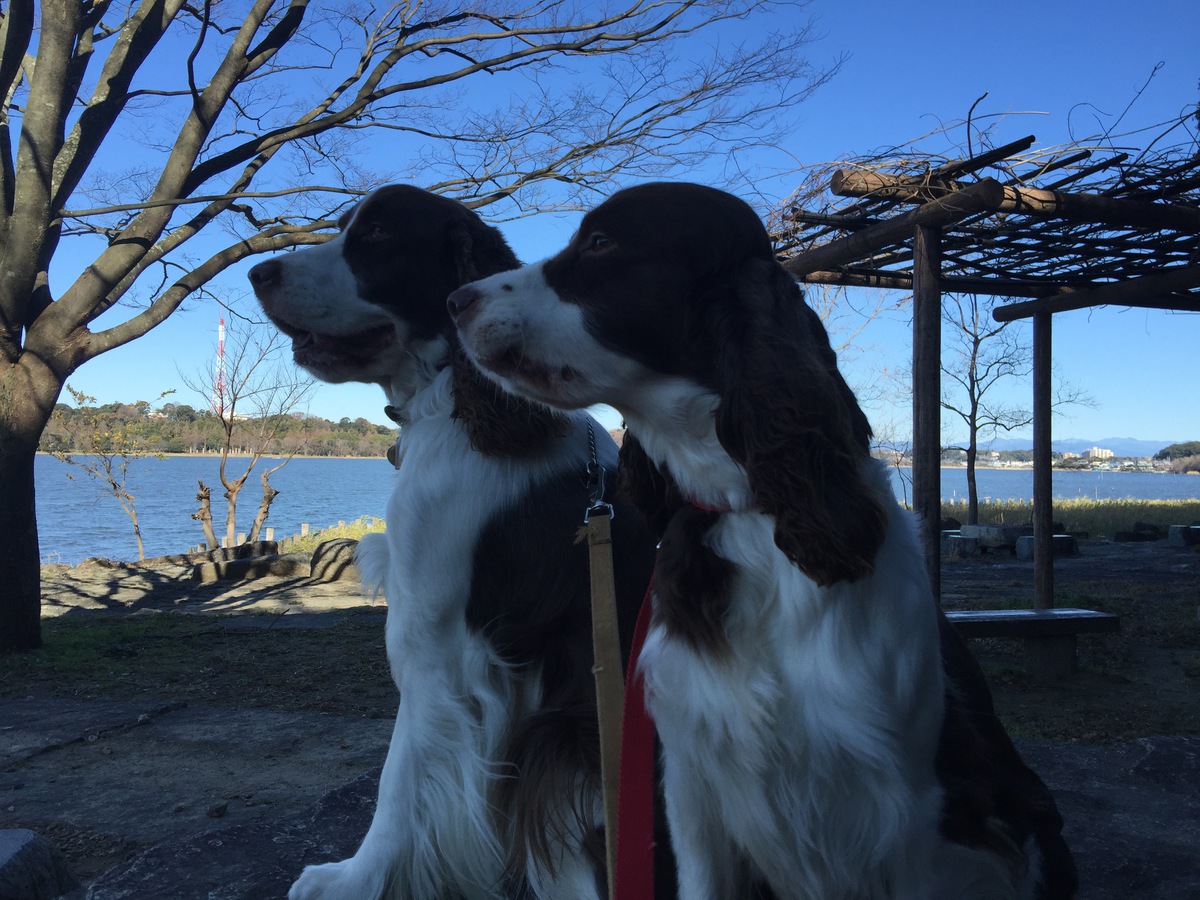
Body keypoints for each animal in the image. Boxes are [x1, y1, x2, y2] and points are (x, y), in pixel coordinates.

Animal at [248, 184, 662, 900]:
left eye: (378, 234)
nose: (257, 272)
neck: (457, 402)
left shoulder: (434, 648)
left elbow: (396, 783)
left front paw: (352, 880)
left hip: (562, 742)